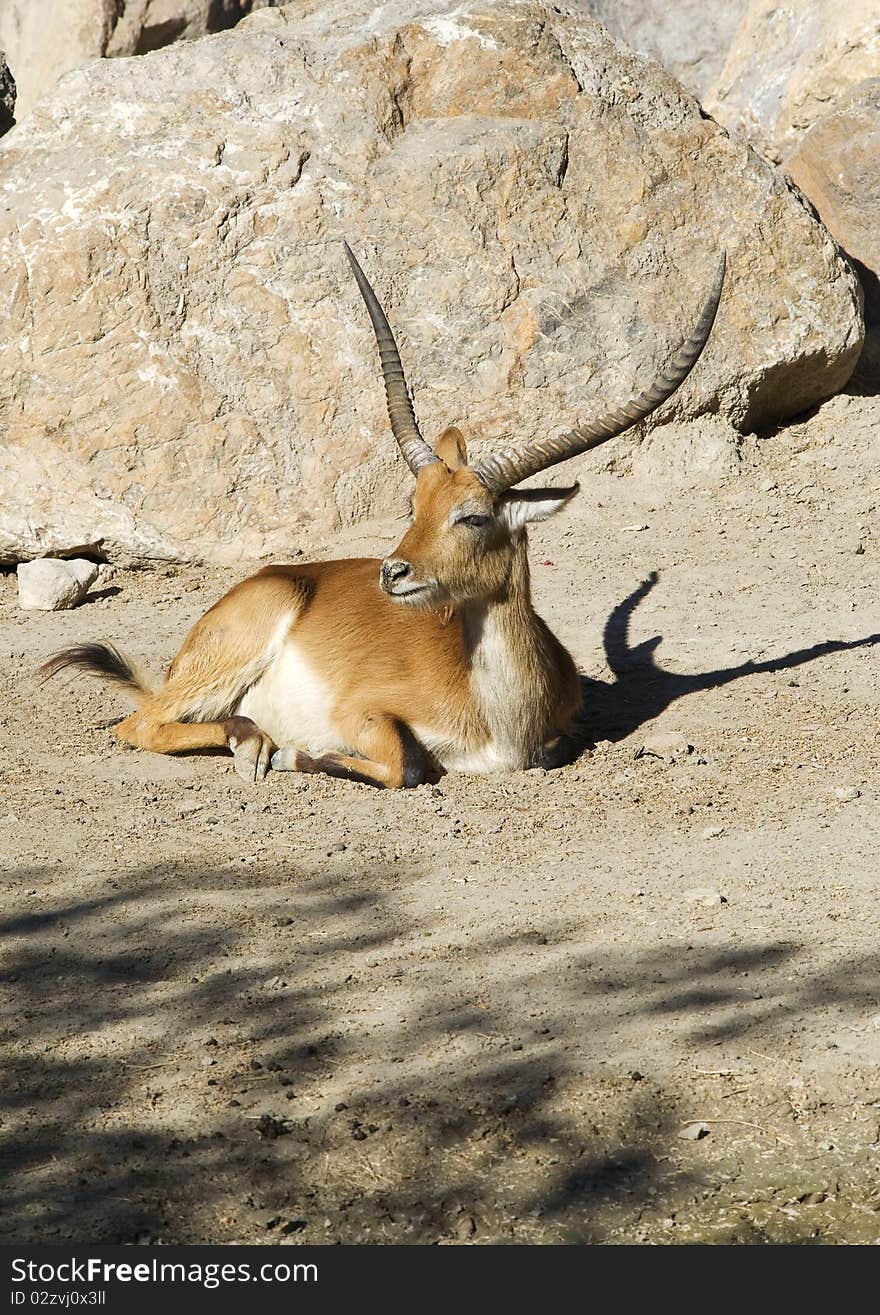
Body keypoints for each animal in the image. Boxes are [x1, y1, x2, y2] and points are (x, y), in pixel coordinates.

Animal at [41, 241, 726, 783]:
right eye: (414, 505)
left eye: (473, 515)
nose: (392, 572)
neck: (502, 722)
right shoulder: (363, 713)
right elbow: (408, 765)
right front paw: (296, 754)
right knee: (140, 723)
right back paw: (254, 742)